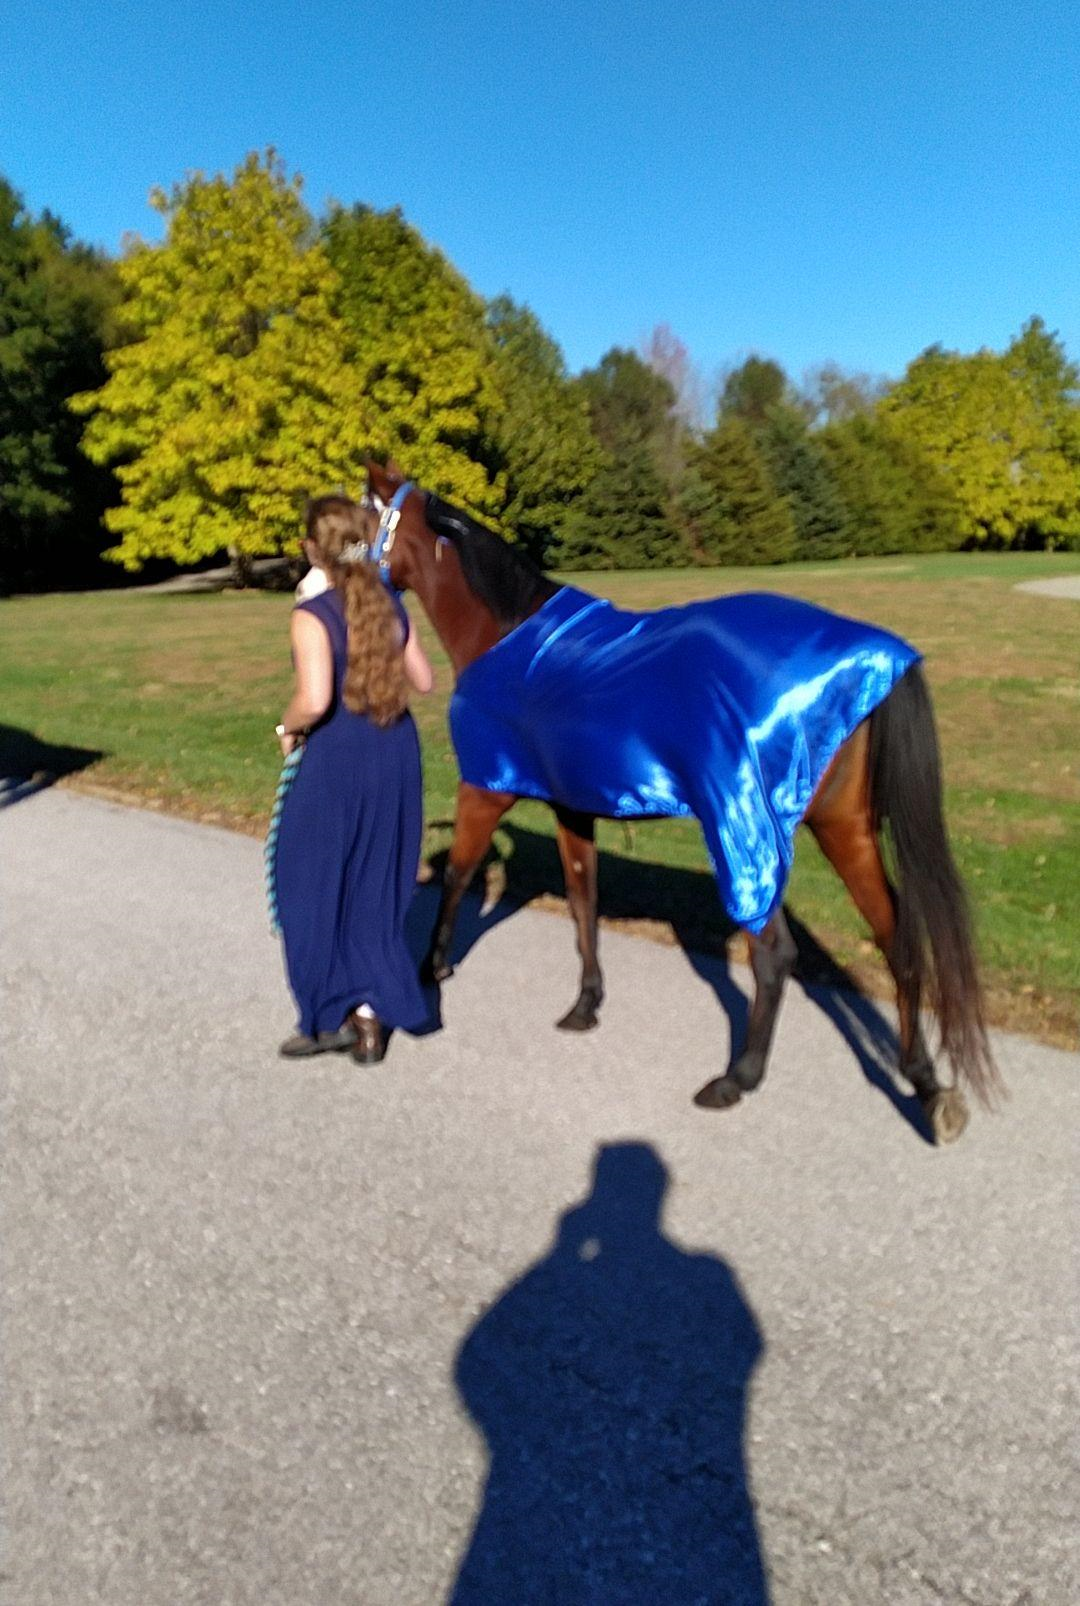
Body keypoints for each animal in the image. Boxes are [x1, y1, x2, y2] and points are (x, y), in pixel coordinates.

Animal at [362, 463, 1002, 1143]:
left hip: (746, 835)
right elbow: (585, 900)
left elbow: (458, 876)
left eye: (362, 511)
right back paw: (928, 1085)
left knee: (773, 954)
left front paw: (430, 970)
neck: (504, 635)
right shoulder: (573, 808)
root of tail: (874, 652)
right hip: (844, 827)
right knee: (898, 940)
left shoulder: (487, 788)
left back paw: (737, 1078)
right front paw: (585, 1004)